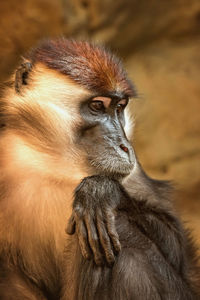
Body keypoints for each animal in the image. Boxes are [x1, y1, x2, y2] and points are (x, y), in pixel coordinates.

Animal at [0, 38, 199, 300]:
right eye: (97, 106)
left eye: (119, 107)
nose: (125, 146)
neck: (53, 163)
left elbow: (179, 249)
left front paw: (100, 191)